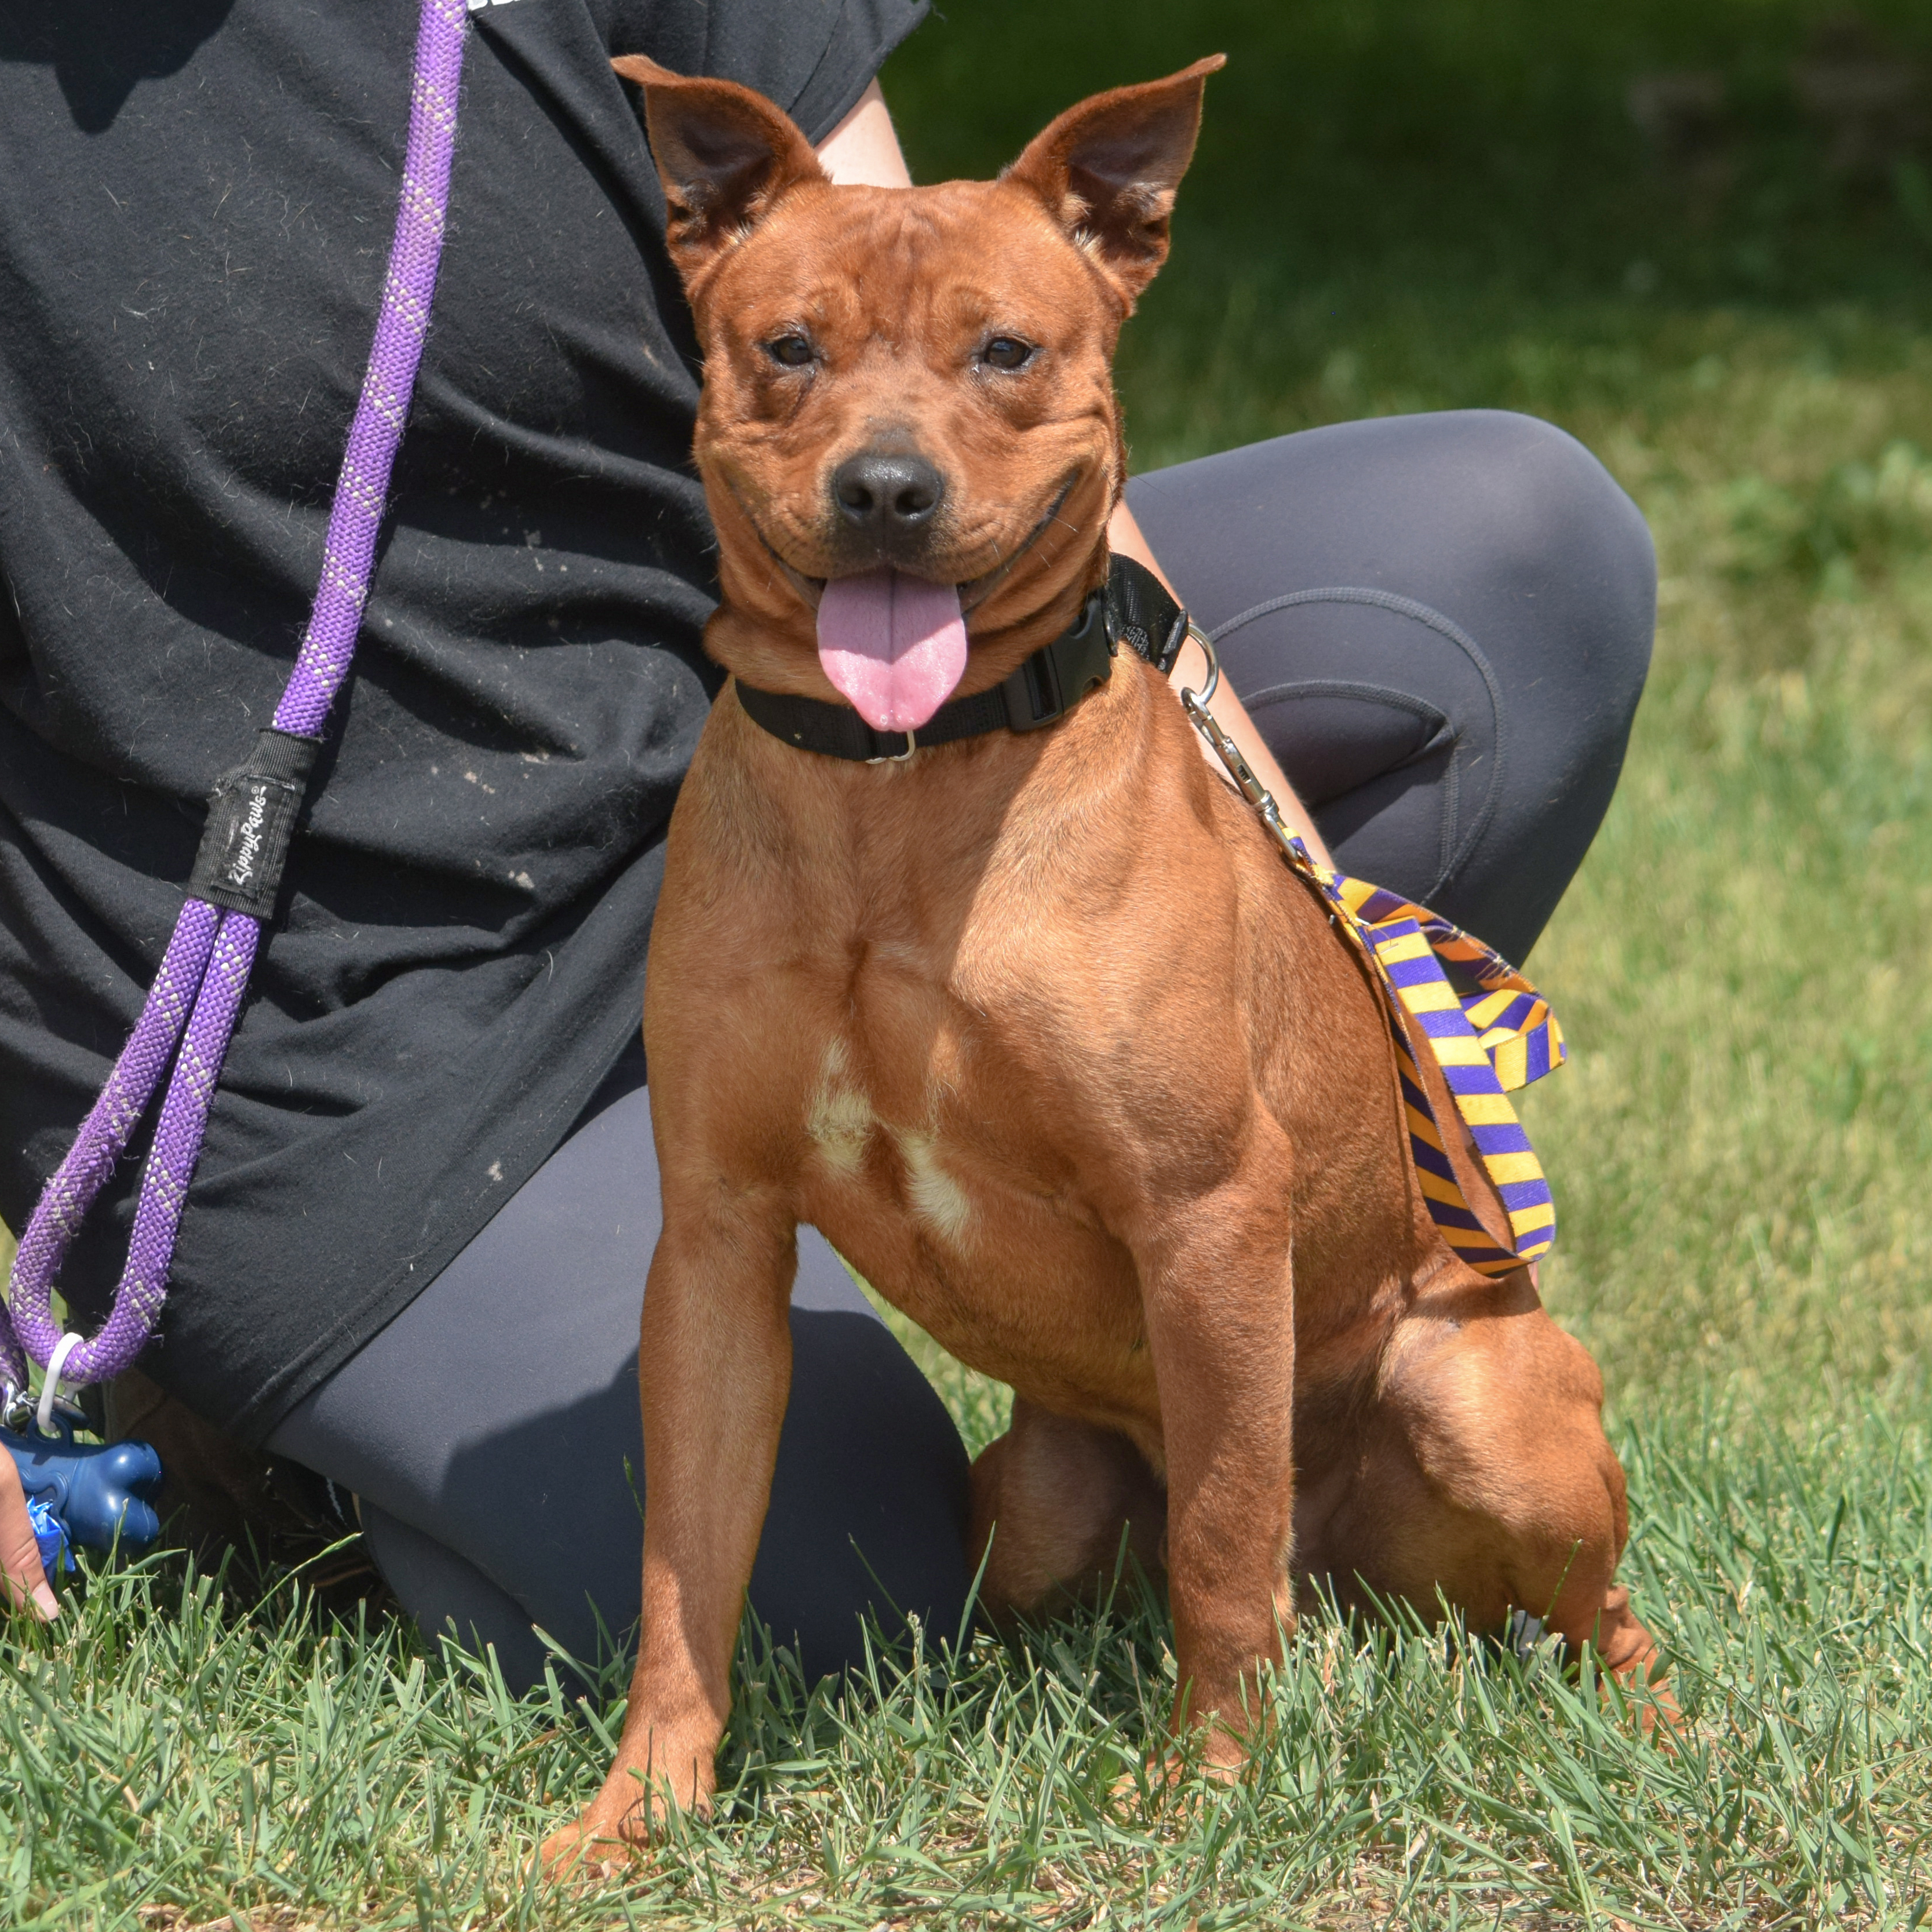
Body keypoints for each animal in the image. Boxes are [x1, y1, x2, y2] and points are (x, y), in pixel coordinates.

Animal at [552, 56, 1669, 1854]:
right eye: (786, 346)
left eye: (1005, 350)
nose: (884, 491)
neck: (902, 786)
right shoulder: (715, 1242)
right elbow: (683, 1563)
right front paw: (641, 1807)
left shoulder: (1205, 1213)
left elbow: (1218, 1540)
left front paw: (1207, 1782)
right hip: (1034, 1496)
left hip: (1486, 1412)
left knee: (1566, 1610)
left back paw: (1655, 1732)